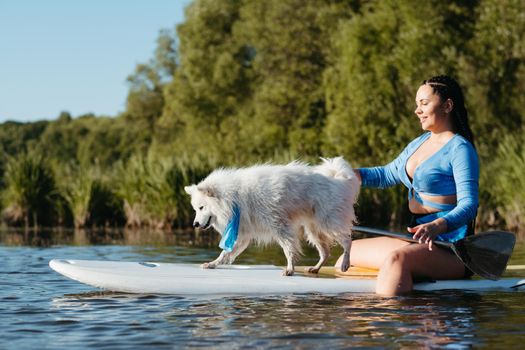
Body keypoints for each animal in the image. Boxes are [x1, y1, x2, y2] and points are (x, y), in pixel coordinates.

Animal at [184, 157, 360, 274]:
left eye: (201, 207)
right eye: (195, 209)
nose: (195, 224)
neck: (234, 197)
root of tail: (339, 181)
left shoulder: (278, 224)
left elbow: (288, 248)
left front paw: (290, 268)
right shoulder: (241, 233)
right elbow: (225, 253)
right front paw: (212, 264)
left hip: (328, 222)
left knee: (347, 240)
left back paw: (345, 263)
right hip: (314, 229)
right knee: (325, 252)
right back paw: (316, 268)